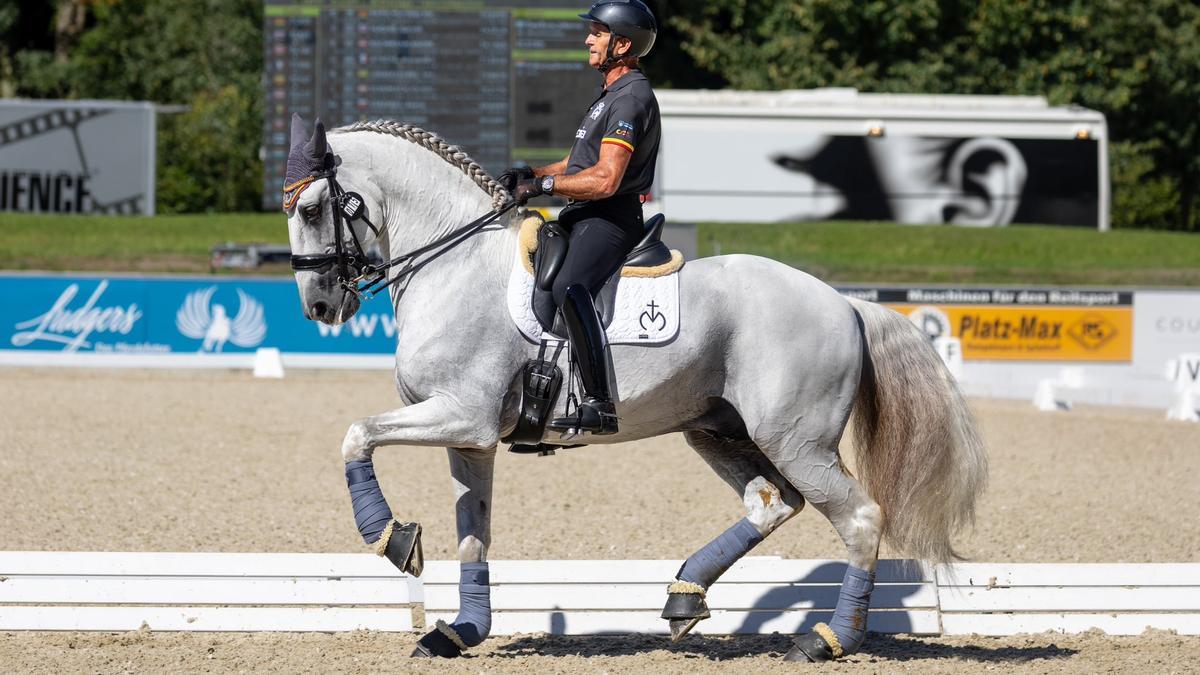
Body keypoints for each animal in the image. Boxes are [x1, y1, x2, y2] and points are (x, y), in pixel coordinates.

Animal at [285, 115, 988, 658]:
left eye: (314, 208)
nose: (320, 306)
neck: (452, 265)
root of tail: (845, 303)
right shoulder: (472, 437)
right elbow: (472, 530)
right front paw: (461, 630)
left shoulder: (461, 415)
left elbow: (356, 435)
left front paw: (392, 539)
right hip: (717, 430)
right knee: (770, 502)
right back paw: (684, 599)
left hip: (797, 440)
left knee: (861, 517)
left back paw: (827, 640)